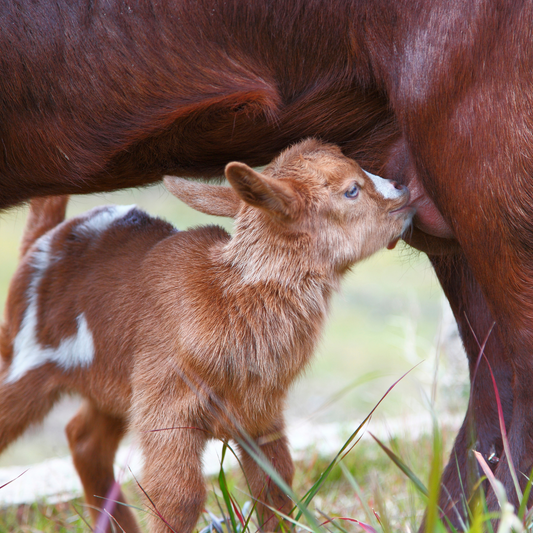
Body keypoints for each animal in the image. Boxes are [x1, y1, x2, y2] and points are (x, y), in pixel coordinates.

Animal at [0, 138, 412, 532]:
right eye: (351, 190)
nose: (403, 188)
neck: (230, 297)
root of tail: (43, 242)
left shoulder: (260, 410)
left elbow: (275, 485)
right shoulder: (166, 407)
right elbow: (178, 497)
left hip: (112, 383)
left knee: (84, 440)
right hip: (25, 360)